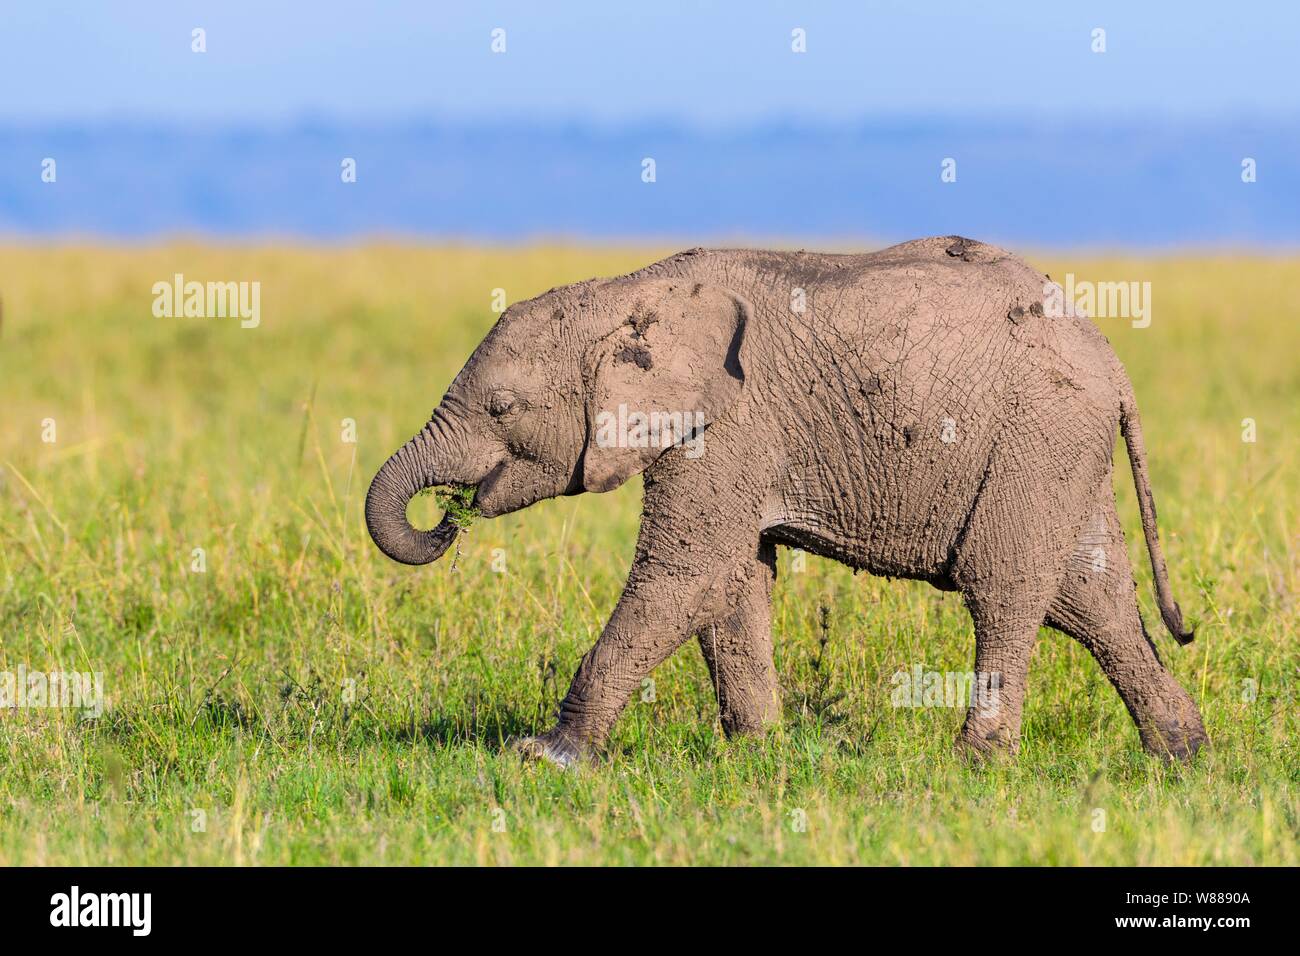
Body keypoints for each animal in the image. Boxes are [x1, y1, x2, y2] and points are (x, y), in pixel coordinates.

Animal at [365, 236, 1208, 767]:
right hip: (1060, 450)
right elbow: (734, 582)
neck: (625, 293)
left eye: (502, 408)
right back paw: (1181, 754)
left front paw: (547, 757)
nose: (448, 514)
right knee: (1092, 598)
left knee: (1004, 589)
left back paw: (977, 763)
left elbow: (687, 573)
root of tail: (1115, 365)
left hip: (1039, 434)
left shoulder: (729, 422)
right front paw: (759, 753)